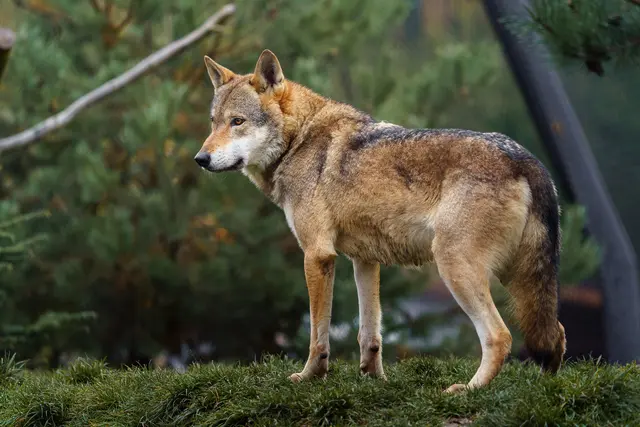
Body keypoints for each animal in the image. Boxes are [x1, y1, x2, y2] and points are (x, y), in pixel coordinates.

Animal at [194, 49, 566, 392]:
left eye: (237, 121)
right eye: (213, 121)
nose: (200, 159)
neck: (299, 140)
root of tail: (527, 158)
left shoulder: (317, 255)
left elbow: (318, 335)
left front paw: (310, 376)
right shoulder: (364, 260)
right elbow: (369, 333)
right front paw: (374, 379)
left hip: (457, 267)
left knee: (500, 336)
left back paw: (469, 390)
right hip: (518, 279)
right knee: (555, 333)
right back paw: (545, 388)